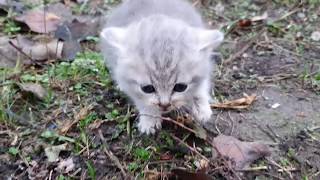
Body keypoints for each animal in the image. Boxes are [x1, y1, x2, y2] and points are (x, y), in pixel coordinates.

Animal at [101, 0, 224, 134]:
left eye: (180, 87)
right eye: (147, 88)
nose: (164, 105)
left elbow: (201, 85)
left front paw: (201, 108)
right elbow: (143, 102)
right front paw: (150, 119)